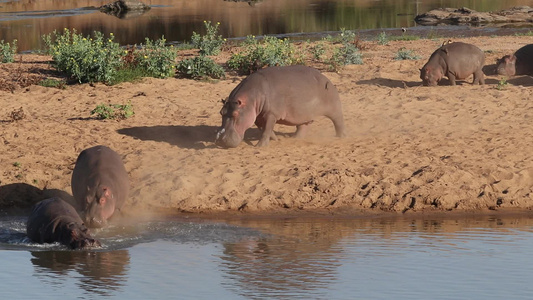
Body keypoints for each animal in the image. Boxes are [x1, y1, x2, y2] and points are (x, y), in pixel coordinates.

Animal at [215, 64, 344, 148]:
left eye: (235, 114)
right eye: (221, 112)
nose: (221, 140)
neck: (252, 97)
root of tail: (327, 79)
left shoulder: (271, 114)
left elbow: (267, 129)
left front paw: (259, 146)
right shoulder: (258, 116)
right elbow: (264, 129)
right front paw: (276, 139)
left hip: (334, 107)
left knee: (338, 121)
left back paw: (341, 136)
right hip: (304, 114)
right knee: (303, 126)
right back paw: (295, 138)